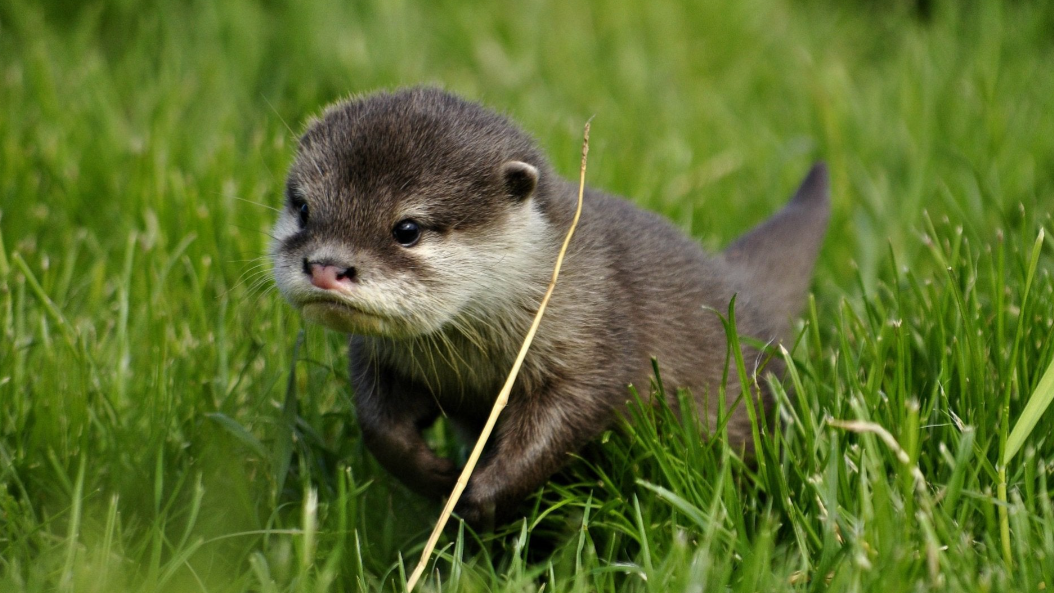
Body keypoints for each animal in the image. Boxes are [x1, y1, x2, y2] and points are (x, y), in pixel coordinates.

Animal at [271, 87, 829, 527]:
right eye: (303, 207)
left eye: (406, 229)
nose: (326, 267)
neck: (476, 364)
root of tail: (741, 289)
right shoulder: (381, 359)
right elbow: (378, 426)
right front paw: (435, 476)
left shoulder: (591, 340)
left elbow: (568, 418)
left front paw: (480, 495)